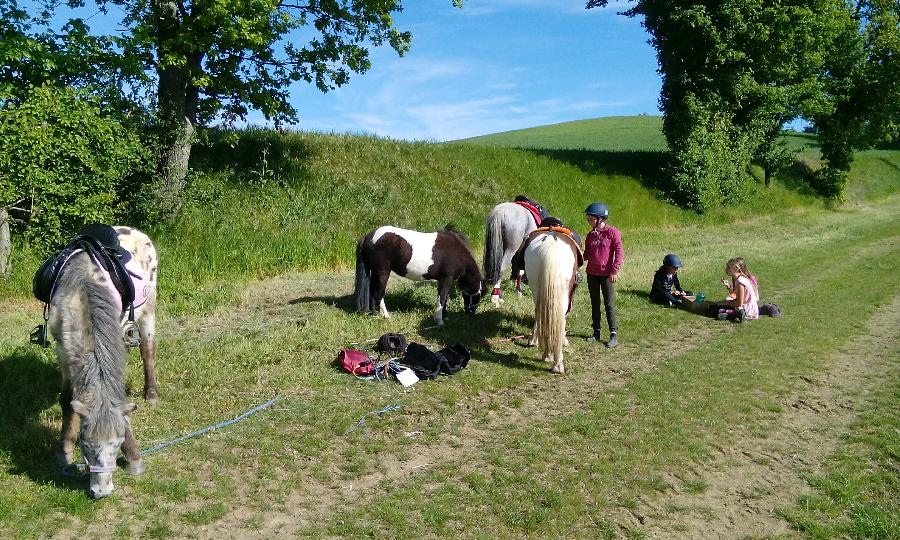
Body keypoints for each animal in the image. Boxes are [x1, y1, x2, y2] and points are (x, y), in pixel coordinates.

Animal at [354, 227, 486, 326]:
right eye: (477, 295)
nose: (471, 313)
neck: (456, 252)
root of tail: (368, 237)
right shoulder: (446, 279)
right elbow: (442, 299)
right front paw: (439, 321)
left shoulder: (442, 281)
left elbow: (444, 299)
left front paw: (443, 317)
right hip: (382, 272)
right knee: (379, 293)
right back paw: (386, 315)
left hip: (374, 271)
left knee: (372, 292)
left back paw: (375, 314)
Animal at [520, 229, 584, 376]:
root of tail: (551, 240)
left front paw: (533, 341)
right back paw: (555, 361)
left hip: (537, 288)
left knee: (541, 314)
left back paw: (549, 355)